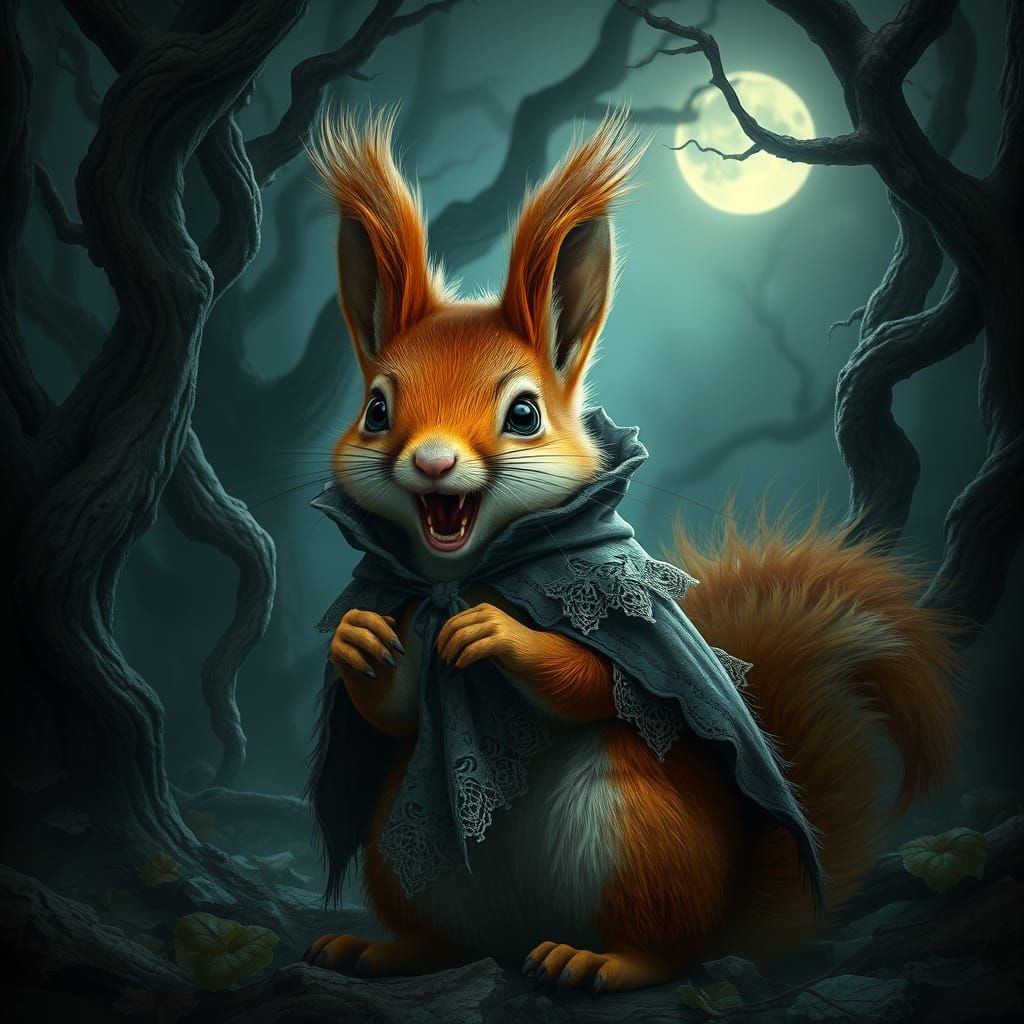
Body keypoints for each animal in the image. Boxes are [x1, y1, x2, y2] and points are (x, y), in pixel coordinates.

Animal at [300, 108, 961, 993]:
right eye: (375, 410)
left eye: (523, 414)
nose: (433, 462)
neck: (466, 573)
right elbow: (398, 709)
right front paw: (360, 639)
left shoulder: (615, 607)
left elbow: (601, 684)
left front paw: (498, 633)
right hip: (400, 859)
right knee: (441, 941)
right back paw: (379, 949)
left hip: (642, 838)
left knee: (668, 947)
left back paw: (598, 960)